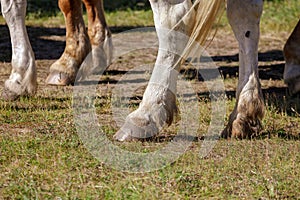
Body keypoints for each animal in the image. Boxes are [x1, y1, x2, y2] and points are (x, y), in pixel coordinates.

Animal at [1, 0, 300, 140]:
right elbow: (12, 5)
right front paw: (20, 77)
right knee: (245, 14)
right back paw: (245, 111)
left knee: (175, 18)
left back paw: (147, 112)